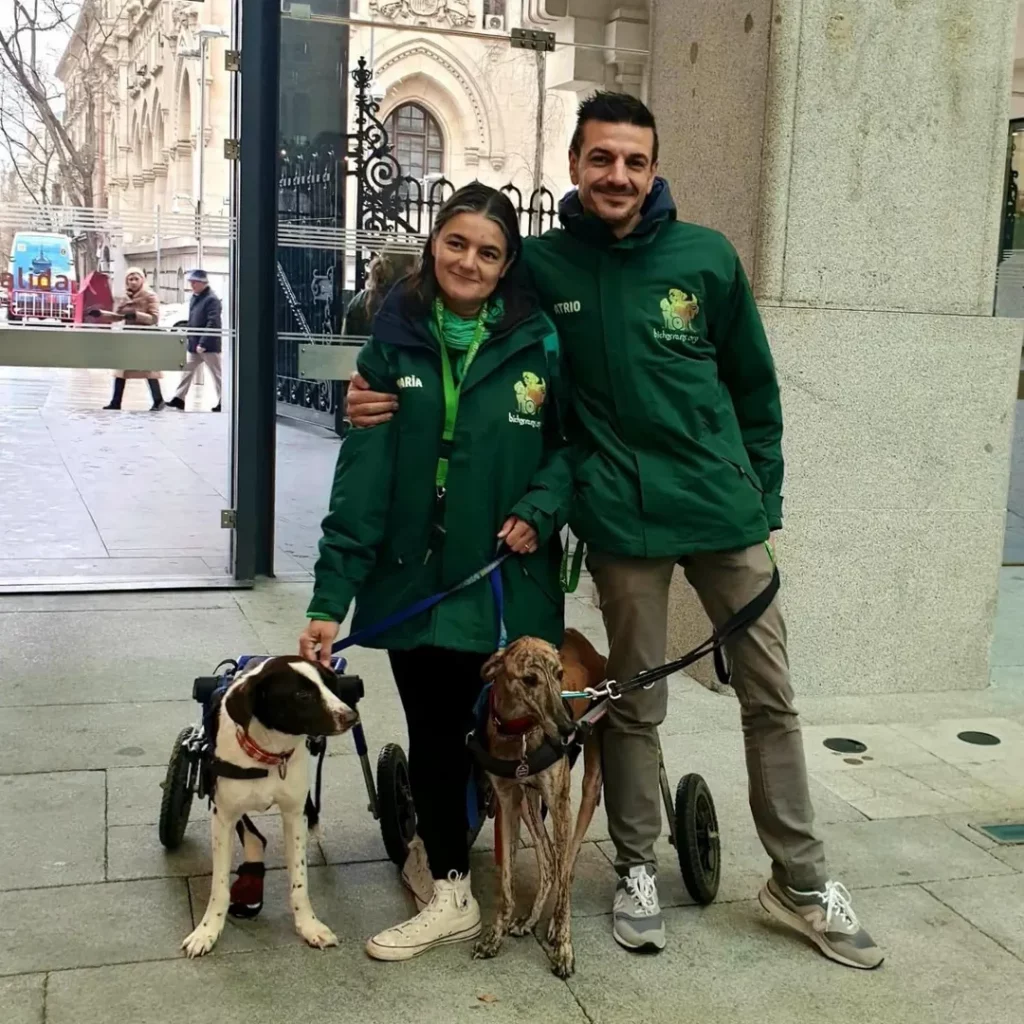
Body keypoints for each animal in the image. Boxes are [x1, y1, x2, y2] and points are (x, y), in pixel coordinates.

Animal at [181, 656, 357, 958]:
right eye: (302, 694)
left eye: (330, 685)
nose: (351, 716)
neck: (269, 753)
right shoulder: (223, 817)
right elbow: (219, 886)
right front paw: (207, 931)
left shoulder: (294, 815)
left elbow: (299, 882)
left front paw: (309, 925)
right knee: (253, 837)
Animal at [472, 629, 607, 978]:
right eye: (529, 679)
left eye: (559, 675)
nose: (569, 730)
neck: (519, 733)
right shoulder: (507, 801)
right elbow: (507, 884)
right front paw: (495, 937)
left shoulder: (559, 803)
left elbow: (562, 879)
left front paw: (564, 949)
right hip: (528, 802)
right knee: (548, 861)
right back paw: (531, 919)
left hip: (585, 789)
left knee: (565, 866)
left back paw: (556, 926)